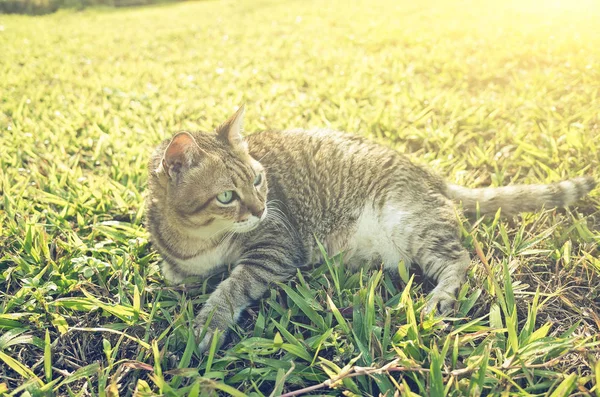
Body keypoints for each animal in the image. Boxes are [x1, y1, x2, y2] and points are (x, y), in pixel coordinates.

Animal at [145, 105, 596, 350]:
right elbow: (177, 275)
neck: (199, 240)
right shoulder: (180, 263)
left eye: (258, 180)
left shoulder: (275, 248)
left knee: (461, 260)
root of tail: (428, 174)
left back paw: (438, 300)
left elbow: (233, 285)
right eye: (226, 196)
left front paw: (210, 322)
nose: (259, 210)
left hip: (411, 225)